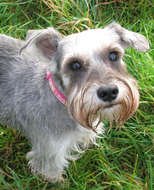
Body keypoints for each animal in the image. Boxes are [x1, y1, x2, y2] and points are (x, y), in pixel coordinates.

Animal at [0, 23, 149, 182]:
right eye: (75, 65)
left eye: (113, 55)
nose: (109, 92)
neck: (63, 101)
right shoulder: (49, 153)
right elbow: (52, 172)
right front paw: (59, 182)